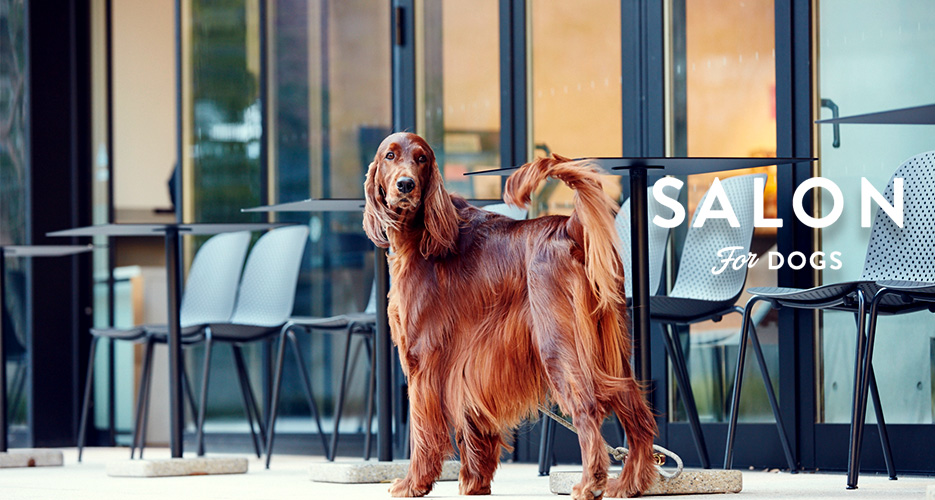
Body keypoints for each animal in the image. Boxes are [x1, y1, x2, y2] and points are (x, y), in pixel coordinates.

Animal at [362, 134, 656, 500]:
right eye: (390, 156)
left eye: (421, 159)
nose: (405, 184)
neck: (422, 233)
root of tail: (570, 226)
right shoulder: (470, 363)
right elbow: (473, 422)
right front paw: (475, 482)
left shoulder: (422, 360)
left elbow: (422, 428)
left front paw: (414, 483)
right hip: (610, 351)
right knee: (635, 409)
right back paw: (630, 483)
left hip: (558, 346)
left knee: (588, 407)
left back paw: (591, 483)